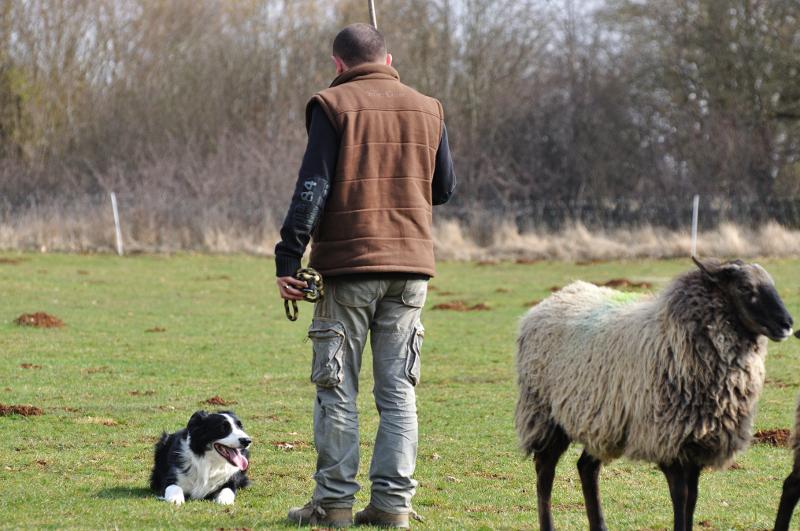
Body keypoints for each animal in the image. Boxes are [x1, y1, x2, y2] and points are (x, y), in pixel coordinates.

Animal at [516, 258, 792, 531]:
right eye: (745, 288)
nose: (787, 324)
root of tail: (552, 299)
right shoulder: (666, 438)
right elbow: (680, 496)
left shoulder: (696, 445)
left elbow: (693, 498)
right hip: (544, 414)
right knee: (545, 471)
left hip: (601, 421)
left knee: (586, 468)